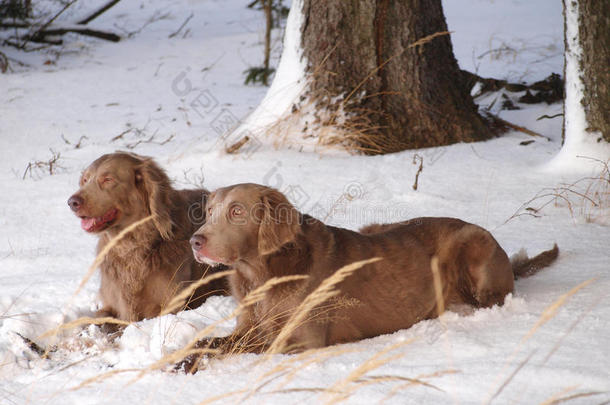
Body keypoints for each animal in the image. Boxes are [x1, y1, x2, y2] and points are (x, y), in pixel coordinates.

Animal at [69, 153, 226, 324]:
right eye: (85, 180)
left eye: (108, 179)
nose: (72, 202)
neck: (131, 246)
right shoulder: (113, 304)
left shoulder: (168, 306)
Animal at [185, 183, 556, 362]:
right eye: (210, 211)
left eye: (236, 211)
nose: (195, 241)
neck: (262, 274)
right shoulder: (248, 328)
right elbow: (203, 343)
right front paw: (180, 362)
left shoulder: (303, 341)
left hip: (471, 244)